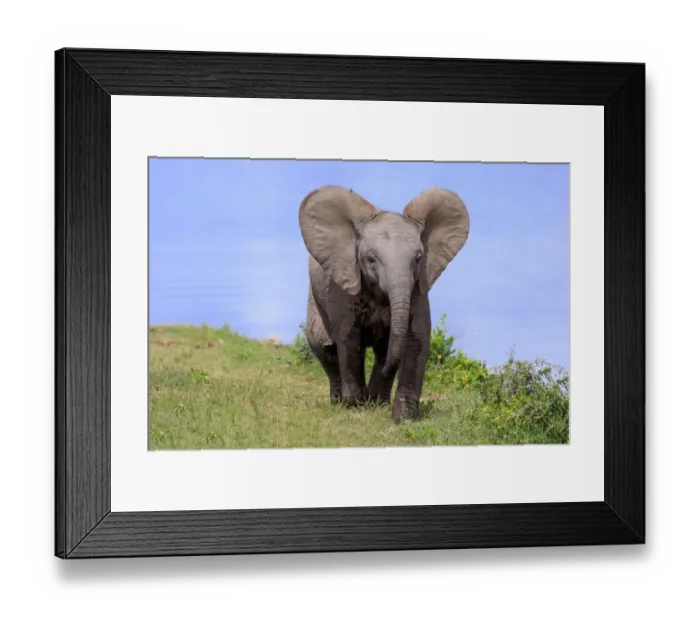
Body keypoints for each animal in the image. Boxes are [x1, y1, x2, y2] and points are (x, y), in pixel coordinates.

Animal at [298, 185, 470, 422]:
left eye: (418, 258)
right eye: (371, 259)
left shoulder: (418, 285)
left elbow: (417, 338)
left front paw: (403, 419)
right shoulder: (343, 282)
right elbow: (349, 337)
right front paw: (355, 405)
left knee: (381, 351)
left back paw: (377, 401)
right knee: (323, 345)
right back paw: (342, 401)